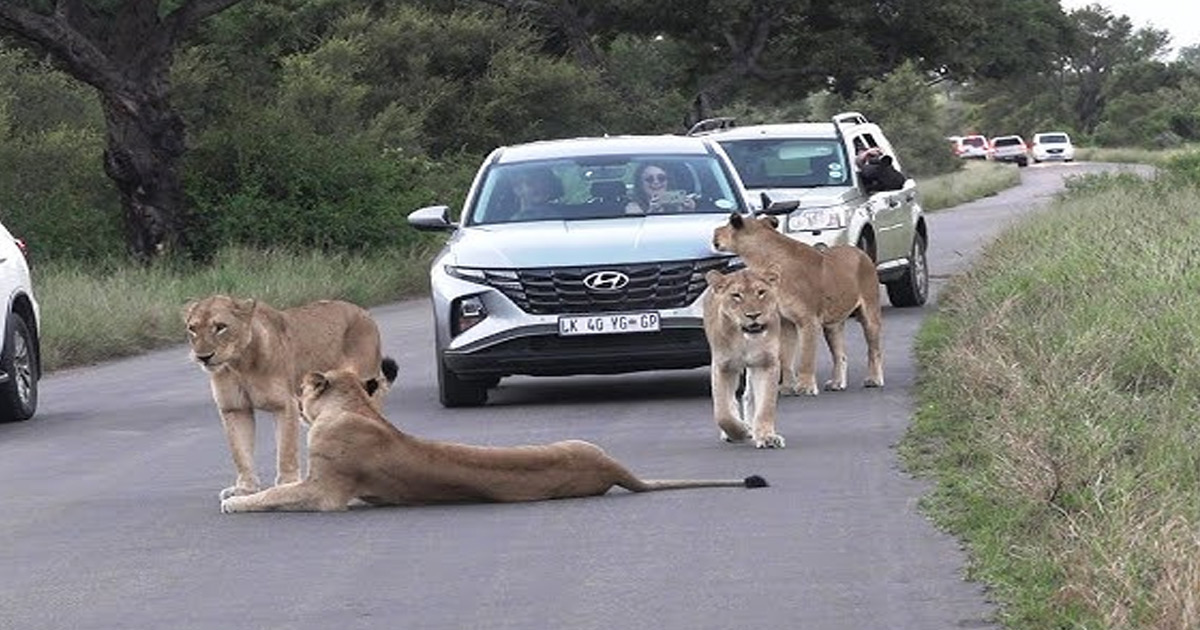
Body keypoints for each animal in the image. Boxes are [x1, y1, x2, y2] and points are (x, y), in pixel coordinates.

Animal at [182, 296, 398, 501]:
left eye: (220, 327)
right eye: (192, 329)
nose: (203, 357)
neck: (239, 364)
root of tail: (362, 311)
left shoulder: (284, 405)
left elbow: (286, 448)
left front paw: (286, 483)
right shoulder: (234, 409)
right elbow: (240, 451)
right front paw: (245, 488)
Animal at [219, 369, 763, 511]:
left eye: (304, 391)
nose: (297, 400)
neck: (353, 406)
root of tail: (613, 467)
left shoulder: (326, 492)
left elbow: (275, 495)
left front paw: (235, 502)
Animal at [700, 265, 792, 446]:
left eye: (761, 292)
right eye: (736, 295)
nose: (753, 315)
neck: (745, 340)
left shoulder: (766, 364)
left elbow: (765, 405)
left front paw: (766, 436)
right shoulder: (723, 367)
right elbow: (722, 413)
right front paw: (740, 431)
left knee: (750, 397)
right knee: (731, 401)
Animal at [710, 213, 883, 396]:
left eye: (728, 224)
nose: (715, 232)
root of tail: (860, 251)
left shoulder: (808, 320)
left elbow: (806, 357)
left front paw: (805, 387)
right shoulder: (786, 322)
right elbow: (786, 358)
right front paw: (786, 387)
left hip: (870, 314)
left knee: (874, 350)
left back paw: (874, 379)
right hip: (832, 326)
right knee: (840, 355)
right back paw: (837, 383)